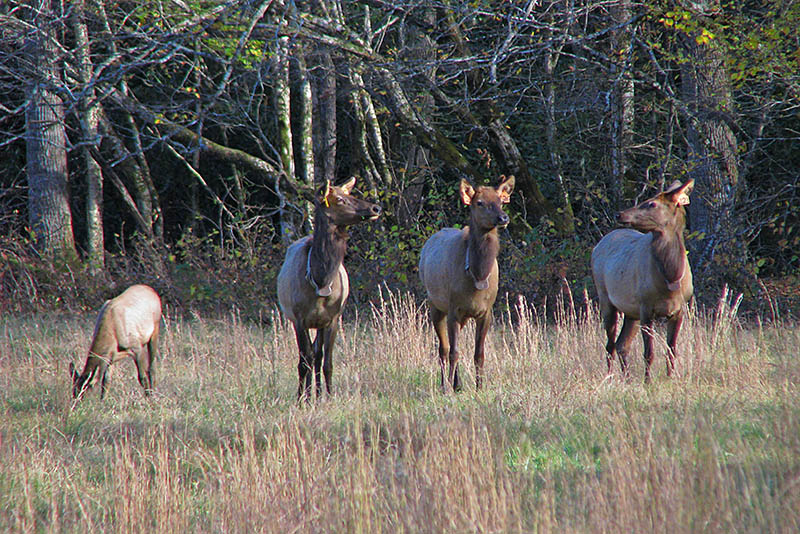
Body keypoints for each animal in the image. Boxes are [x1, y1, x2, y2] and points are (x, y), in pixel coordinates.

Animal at [278, 178, 382, 404]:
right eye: (340, 199)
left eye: (349, 193)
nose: (376, 208)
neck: (320, 280)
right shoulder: (299, 318)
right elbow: (303, 361)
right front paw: (301, 398)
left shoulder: (333, 318)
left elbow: (327, 362)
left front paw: (329, 396)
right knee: (308, 356)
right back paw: (309, 394)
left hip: (321, 323)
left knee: (317, 355)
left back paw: (317, 394)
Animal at [416, 176, 516, 394]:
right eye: (479, 202)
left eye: (500, 200)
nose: (503, 218)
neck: (477, 275)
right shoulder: (454, 308)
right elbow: (453, 351)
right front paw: (447, 389)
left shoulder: (486, 312)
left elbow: (479, 353)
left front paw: (480, 387)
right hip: (435, 305)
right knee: (443, 349)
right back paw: (446, 384)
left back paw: (457, 384)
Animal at [592, 182, 696, 384]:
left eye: (652, 204)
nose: (620, 214)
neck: (670, 279)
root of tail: (598, 244)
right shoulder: (646, 307)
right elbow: (649, 353)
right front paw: (648, 381)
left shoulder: (679, 310)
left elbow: (671, 350)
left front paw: (670, 378)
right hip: (606, 298)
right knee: (610, 345)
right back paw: (609, 377)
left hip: (631, 312)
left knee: (622, 344)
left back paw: (626, 378)